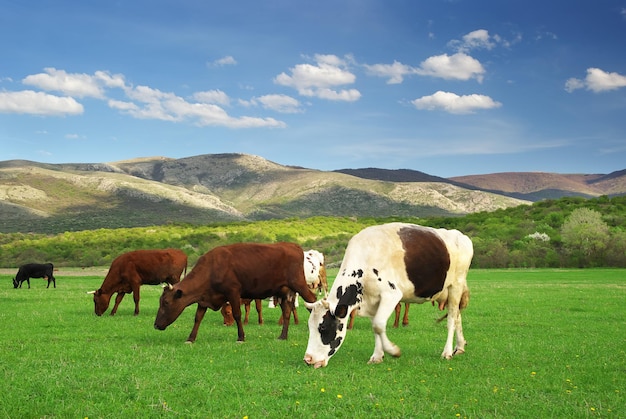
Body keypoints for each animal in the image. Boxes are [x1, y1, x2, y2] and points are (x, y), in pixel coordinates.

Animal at [152, 243, 316, 344]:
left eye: (166, 303)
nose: (155, 325)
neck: (212, 268)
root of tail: (293, 246)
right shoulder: (204, 298)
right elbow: (198, 317)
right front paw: (190, 338)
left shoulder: (233, 292)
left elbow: (237, 314)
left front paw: (241, 337)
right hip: (283, 291)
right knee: (287, 311)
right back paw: (283, 336)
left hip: (299, 284)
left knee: (312, 301)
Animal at [302, 223, 468, 368]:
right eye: (310, 327)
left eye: (323, 328)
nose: (308, 359)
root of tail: (460, 235)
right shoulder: (372, 300)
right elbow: (375, 327)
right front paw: (377, 356)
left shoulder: (391, 294)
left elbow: (378, 324)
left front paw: (393, 351)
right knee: (458, 316)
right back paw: (460, 347)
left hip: (456, 285)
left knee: (452, 319)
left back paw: (447, 352)